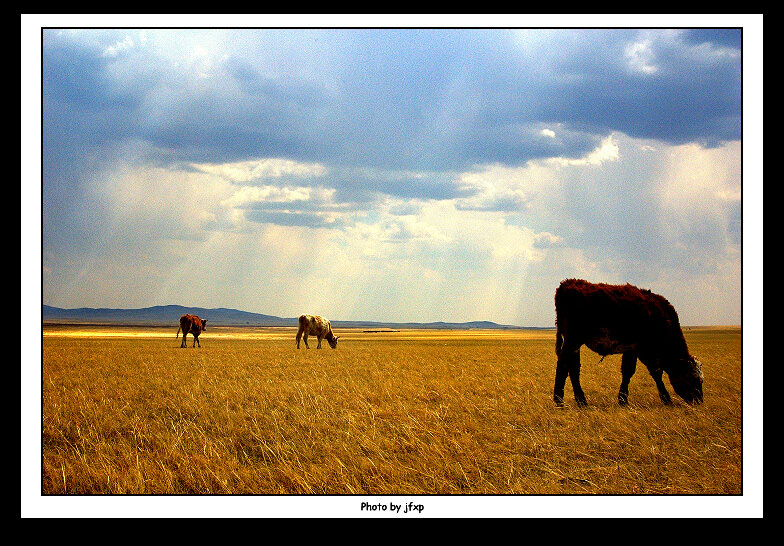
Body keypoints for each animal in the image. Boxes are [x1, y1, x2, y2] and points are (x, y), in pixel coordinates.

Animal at [552, 280, 704, 404]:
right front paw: (666, 398)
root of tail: (567, 283)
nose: (699, 400)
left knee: (573, 368)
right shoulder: (645, 349)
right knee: (564, 365)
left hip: (575, 343)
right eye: (693, 378)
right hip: (573, 340)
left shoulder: (632, 349)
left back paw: (581, 400)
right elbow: (655, 372)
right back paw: (559, 400)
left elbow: (628, 371)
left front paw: (623, 399)